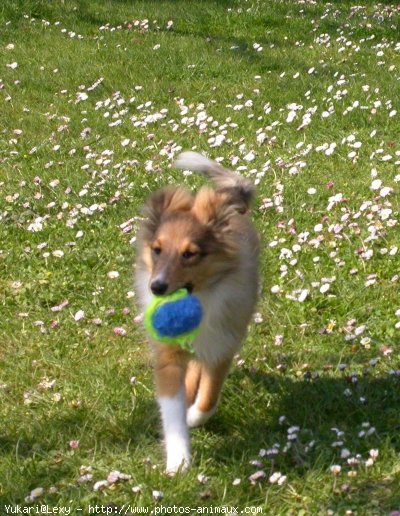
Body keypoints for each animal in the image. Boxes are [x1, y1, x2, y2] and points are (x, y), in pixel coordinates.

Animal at [134, 151, 260, 474]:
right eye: (156, 249)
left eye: (190, 254)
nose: (157, 287)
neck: (201, 296)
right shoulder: (168, 355)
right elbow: (172, 411)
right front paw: (178, 462)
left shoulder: (222, 346)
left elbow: (208, 398)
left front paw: (193, 416)